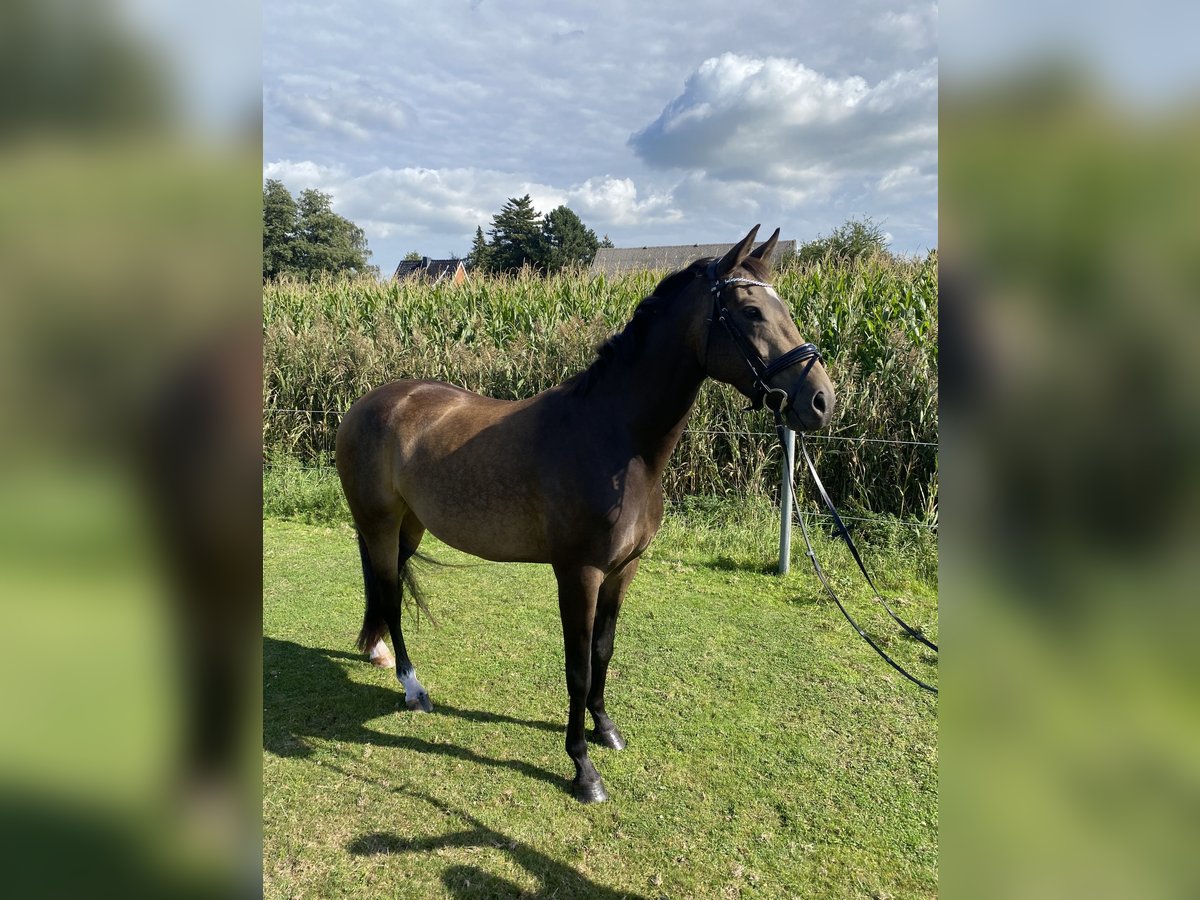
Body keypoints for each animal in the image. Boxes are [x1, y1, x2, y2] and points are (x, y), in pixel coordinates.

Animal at [333, 225, 830, 801]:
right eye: (750, 311)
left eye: (784, 306)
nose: (821, 400)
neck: (616, 440)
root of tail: (368, 403)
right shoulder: (579, 574)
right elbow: (576, 667)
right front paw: (582, 767)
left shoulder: (622, 570)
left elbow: (603, 652)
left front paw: (605, 728)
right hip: (379, 523)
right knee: (390, 595)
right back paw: (412, 686)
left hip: (409, 526)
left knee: (385, 586)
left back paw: (378, 653)